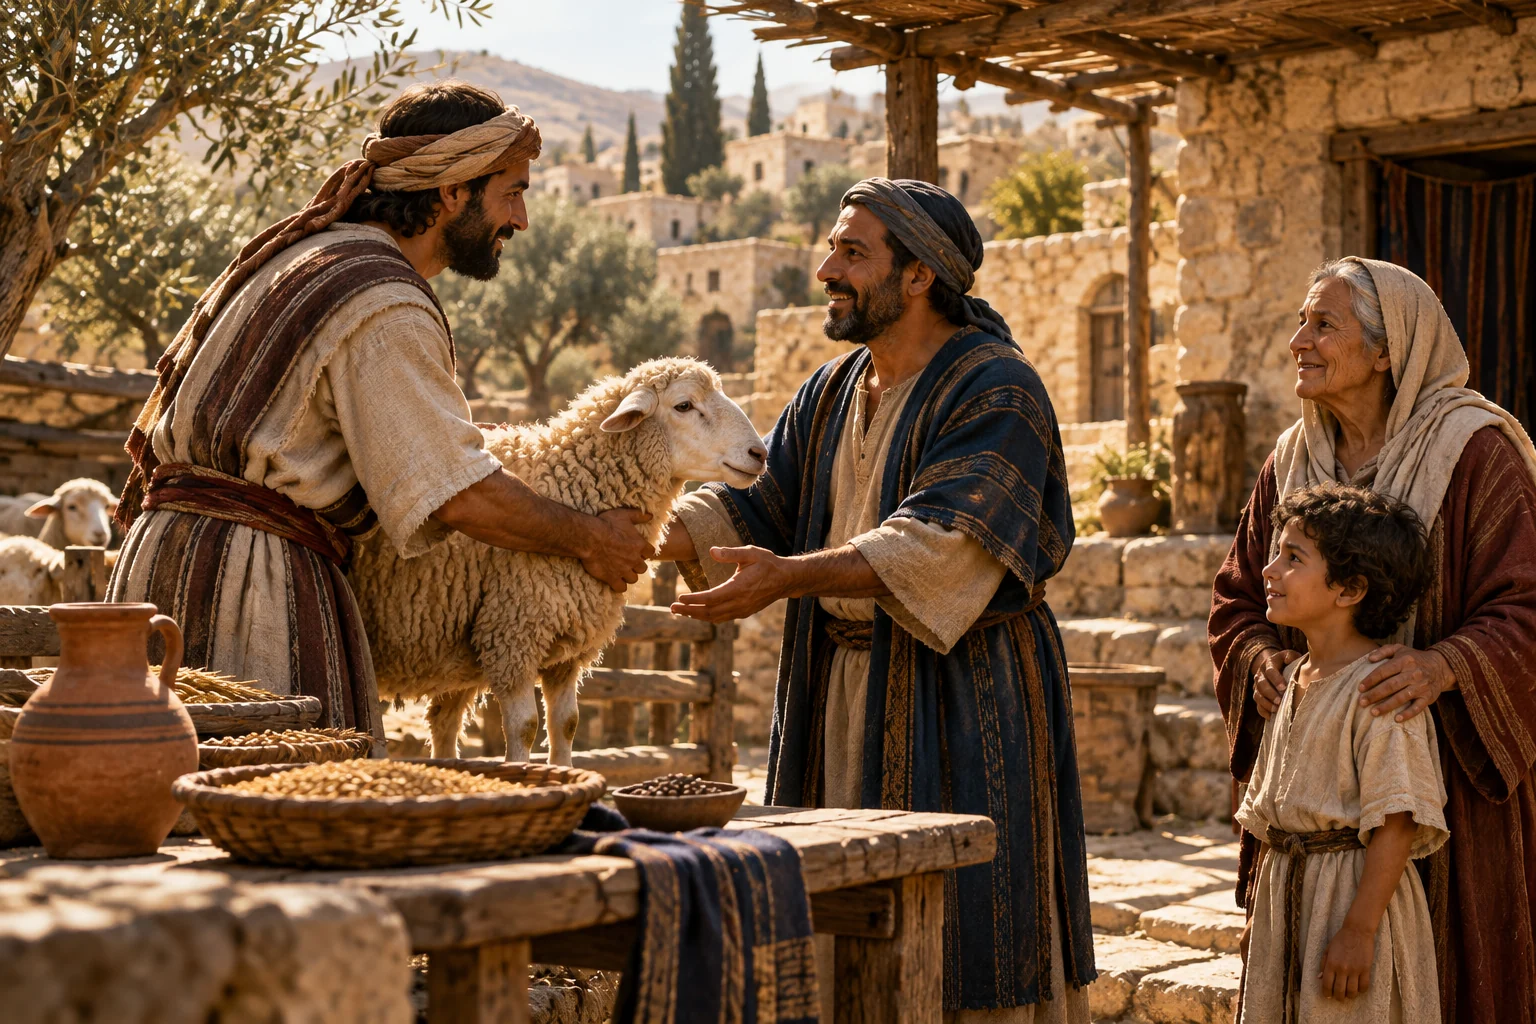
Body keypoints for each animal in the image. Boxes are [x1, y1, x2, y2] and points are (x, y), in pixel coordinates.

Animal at [349, 357, 766, 765]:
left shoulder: (568, 650)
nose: (759, 454)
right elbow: (525, 728)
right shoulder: (513, 636)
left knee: (444, 727)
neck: (569, 486)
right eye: (683, 405)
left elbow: (567, 724)